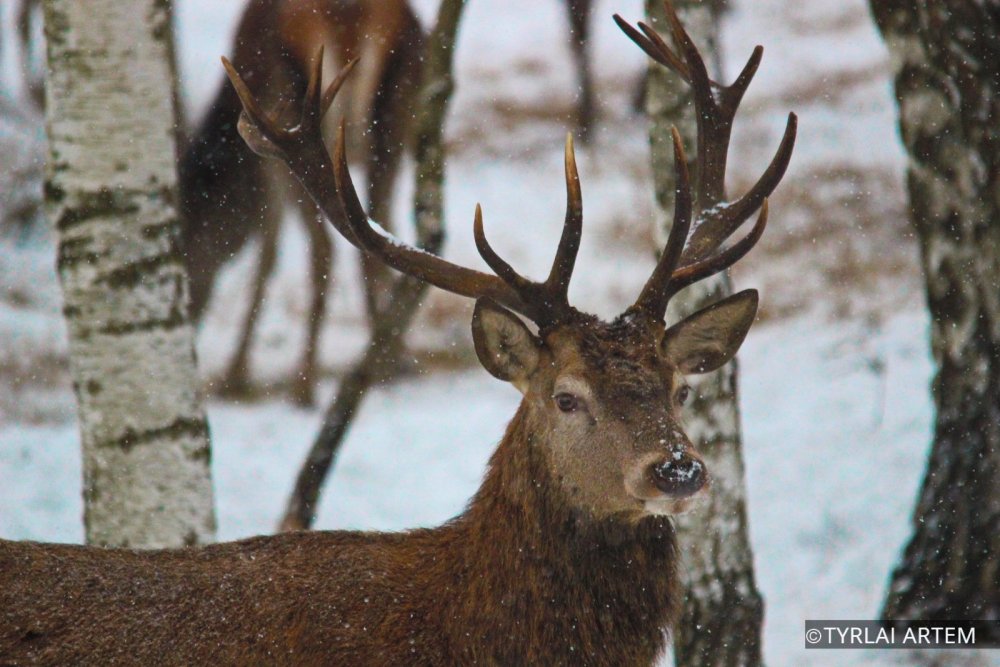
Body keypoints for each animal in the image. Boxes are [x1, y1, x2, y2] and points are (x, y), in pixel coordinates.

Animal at [178, 0, 424, 406]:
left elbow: (268, 252)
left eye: (187, 240)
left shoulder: (266, 163)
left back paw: (305, 385)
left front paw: (235, 374)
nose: (188, 313)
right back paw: (386, 361)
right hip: (395, 115)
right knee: (371, 237)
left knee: (323, 249)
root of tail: (351, 24)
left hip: (292, 111)